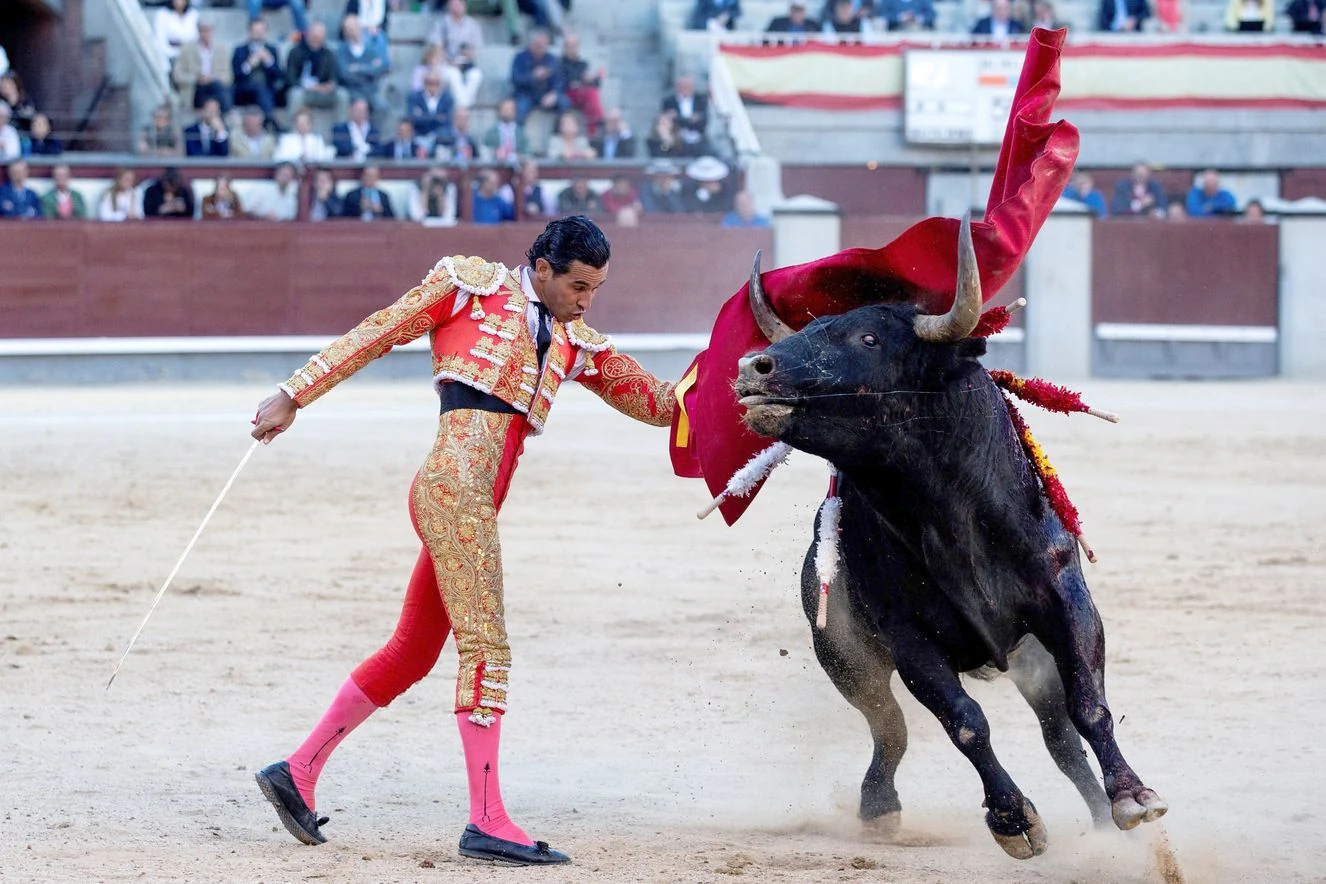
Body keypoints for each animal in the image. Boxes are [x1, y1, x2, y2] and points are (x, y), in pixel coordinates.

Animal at [737, 220, 1172, 858]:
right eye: (813, 329)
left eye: (869, 338)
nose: (753, 368)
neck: (946, 513)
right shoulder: (907, 638)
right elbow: (965, 721)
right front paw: (1014, 820)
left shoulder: (1067, 602)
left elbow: (1090, 707)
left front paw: (1134, 798)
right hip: (844, 654)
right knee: (889, 728)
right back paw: (879, 808)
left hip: (1032, 662)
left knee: (1061, 738)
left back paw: (1099, 820)